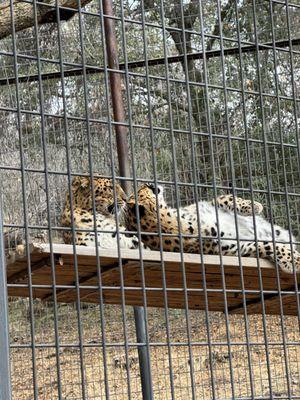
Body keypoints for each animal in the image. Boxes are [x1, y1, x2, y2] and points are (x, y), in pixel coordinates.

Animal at [126, 183, 300, 274]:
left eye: (139, 188)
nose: (149, 182)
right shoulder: (237, 248)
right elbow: (271, 246)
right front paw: (295, 261)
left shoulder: (206, 205)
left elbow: (225, 198)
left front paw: (253, 206)